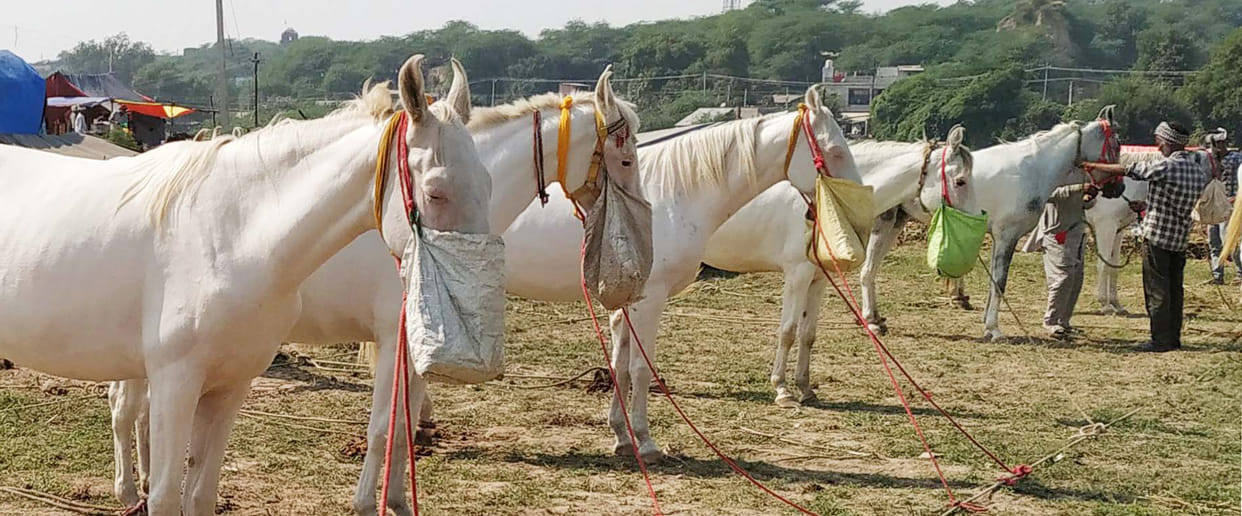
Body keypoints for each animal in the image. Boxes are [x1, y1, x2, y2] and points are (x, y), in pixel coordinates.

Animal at [0, 54, 491, 516]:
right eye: (436, 192)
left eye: (487, 181)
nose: (469, 348)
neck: (232, 236)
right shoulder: (175, 383)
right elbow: (164, 497)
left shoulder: (229, 387)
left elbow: (201, 495)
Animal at [106, 67, 644, 516]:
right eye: (625, 157)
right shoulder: (393, 338)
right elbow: (385, 424)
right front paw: (370, 502)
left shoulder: (421, 347)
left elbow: (403, 425)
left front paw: (400, 499)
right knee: (127, 407)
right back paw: (131, 489)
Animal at [500, 87, 860, 461]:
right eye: (835, 151)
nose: (853, 212)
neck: (675, 196)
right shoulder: (649, 300)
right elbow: (641, 369)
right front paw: (645, 441)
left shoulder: (629, 301)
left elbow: (621, 366)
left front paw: (622, 436)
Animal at [702, 126, 978, 407]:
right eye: (960, 181)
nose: (975, 226)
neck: (827, 200)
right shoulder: (797, 275)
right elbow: (788, 331)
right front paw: (782, 390)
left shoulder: (819, 279)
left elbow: (807, 334)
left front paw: (805, 388)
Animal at [860, 111, 1119, 341]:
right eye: (1116, 146)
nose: (1117, 189)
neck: (1033, 170)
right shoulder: (1007, 236)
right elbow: (1000, 282)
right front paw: (994, 329)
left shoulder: (998, 238)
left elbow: (993, 281)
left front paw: (987, 322)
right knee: (868, 269)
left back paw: (876, 319)